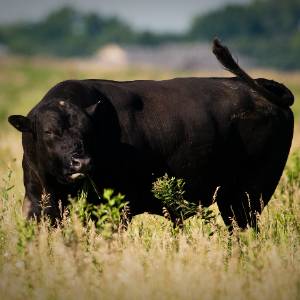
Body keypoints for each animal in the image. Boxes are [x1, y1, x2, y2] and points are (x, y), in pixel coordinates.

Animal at [8, 41, 292, 230]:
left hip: (248, 194)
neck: (56, 187)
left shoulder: (115, 208)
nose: (82, 162)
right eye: (49, 131)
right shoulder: (36, 204)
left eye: (88, 131)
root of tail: (258, 87)